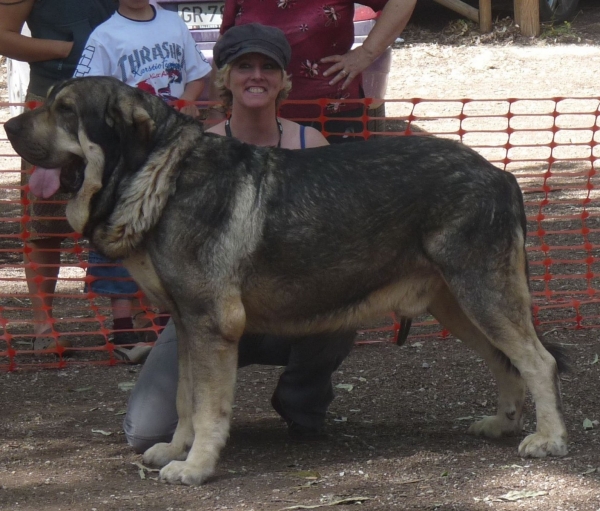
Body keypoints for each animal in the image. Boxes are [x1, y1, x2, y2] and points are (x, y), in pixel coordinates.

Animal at [4, 78, 568, 486]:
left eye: (66, 110)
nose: (8, 125)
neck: (160, 173)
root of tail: (501, 174)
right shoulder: (188, 327)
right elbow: (185, 400)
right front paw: (177, 449)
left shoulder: (211, 326)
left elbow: (208, 408)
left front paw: (197, 466)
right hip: (458, 305)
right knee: (505, 361)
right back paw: (504, 423)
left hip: (482, 294)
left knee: (537, 361)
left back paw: (549, 439)